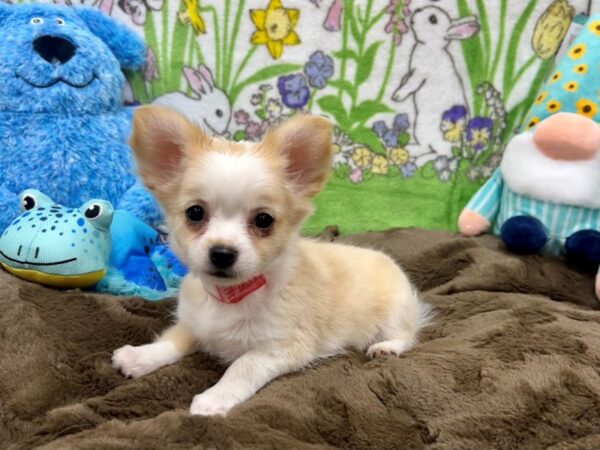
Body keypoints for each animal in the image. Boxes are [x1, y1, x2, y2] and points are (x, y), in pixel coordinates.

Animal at [112, 105, 428, 414]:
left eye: (264, 220)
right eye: (195, 213)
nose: (222, 253)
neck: (230, 298)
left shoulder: (281, 348)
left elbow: (242, 366)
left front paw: (215, 398)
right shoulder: (194, 324)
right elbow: (172, 340)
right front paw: (140, 356)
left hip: (395, 311)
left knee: (406, 334)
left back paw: (386, 347)